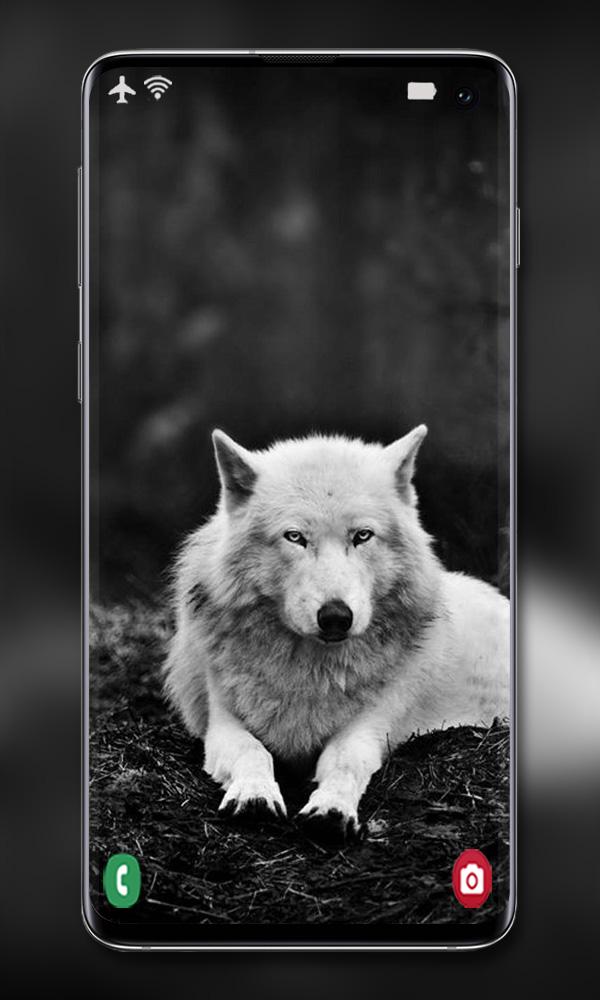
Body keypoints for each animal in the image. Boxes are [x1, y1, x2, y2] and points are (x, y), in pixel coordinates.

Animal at [164, 426, 510, 841]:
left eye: (362, 536)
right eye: (295, 537)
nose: (335, 616)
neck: (309, 671)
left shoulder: (370, 726)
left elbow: (345, 761)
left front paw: (331, 810)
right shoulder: (222, 722)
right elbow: (253, 751)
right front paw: (254, 795)